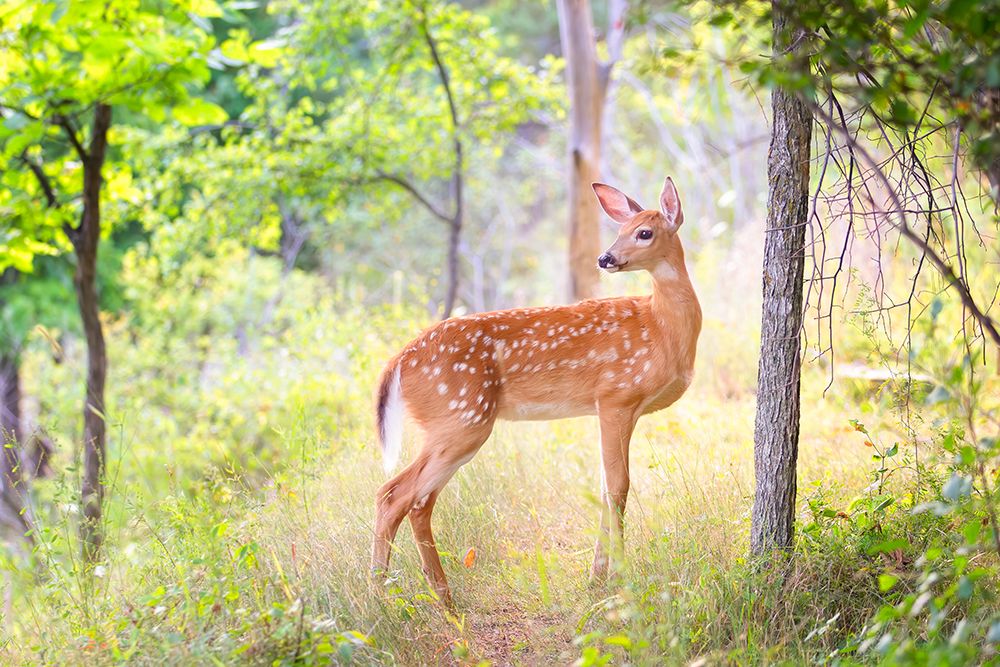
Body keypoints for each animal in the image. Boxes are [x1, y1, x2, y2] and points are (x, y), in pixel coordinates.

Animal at [372, 177, 700, 604]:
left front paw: (597, 577)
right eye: (620, 230)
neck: (662, 328)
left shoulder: (616, 407)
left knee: (413, 500)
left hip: (454, 424)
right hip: (461, 417)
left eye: (643, 232)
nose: (606, 258)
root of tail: (397, 362)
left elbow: (605, 487)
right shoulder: (616, 395)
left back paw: (435, 595)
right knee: (396, 494)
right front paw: (615, 577)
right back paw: (384, 595)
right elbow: (618, 487)